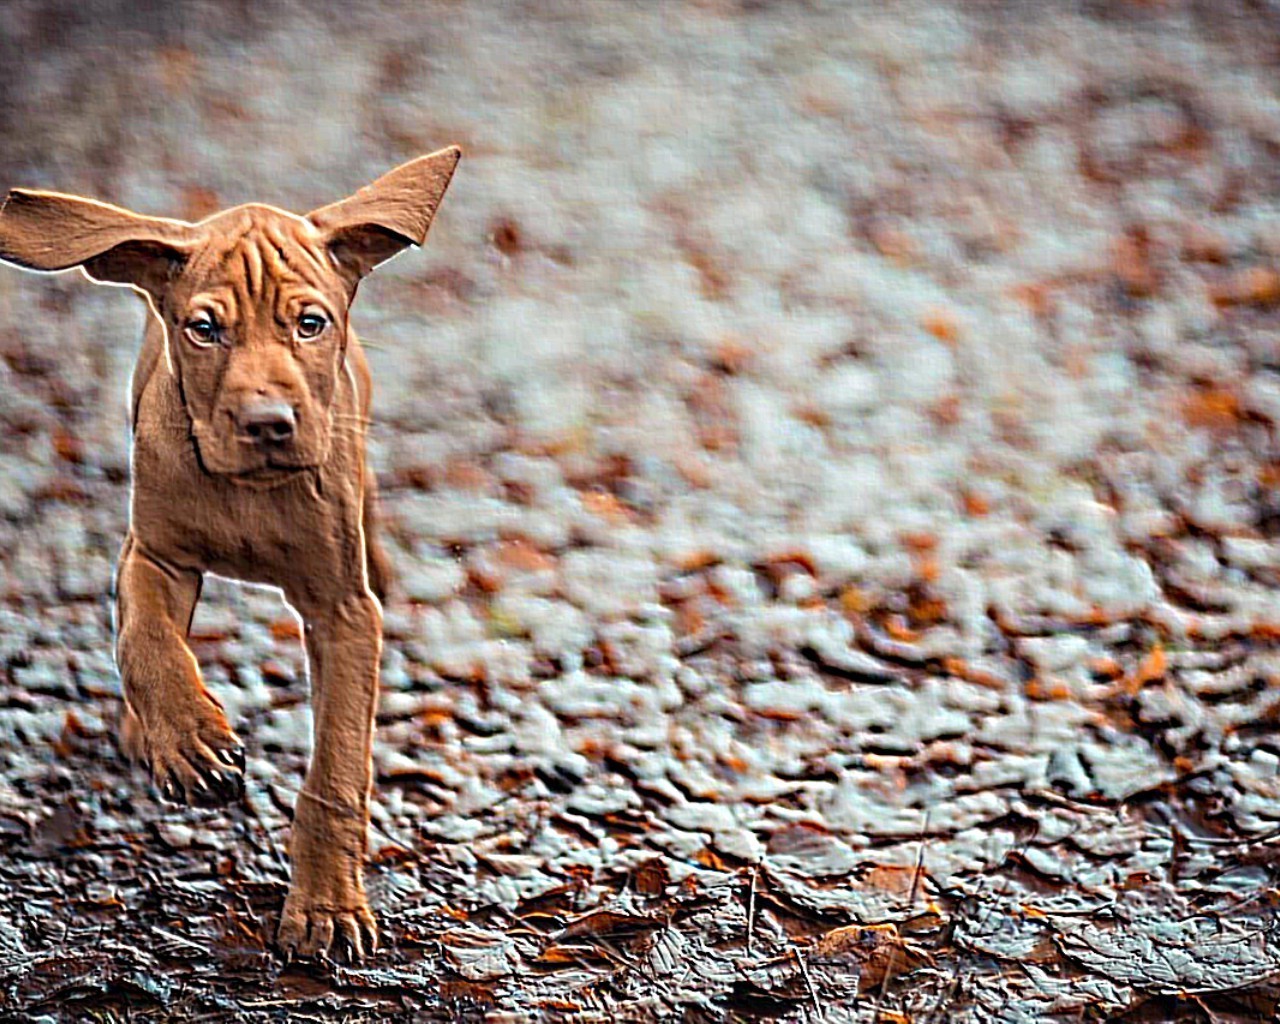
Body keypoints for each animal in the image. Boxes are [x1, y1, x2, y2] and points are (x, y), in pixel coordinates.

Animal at [0, 145, 460, 962]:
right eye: (204, 329)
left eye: (310, 323)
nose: (267, 423)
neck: (250, 492)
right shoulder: (155, 555)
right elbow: (146, 640)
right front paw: (189, 741)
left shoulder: (344, 610)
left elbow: (337, 765)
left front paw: (326, 906)